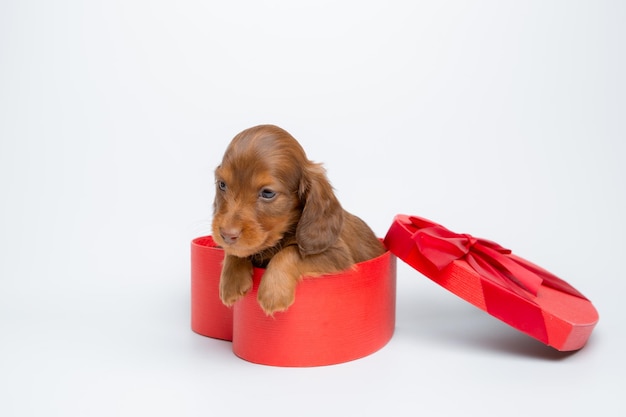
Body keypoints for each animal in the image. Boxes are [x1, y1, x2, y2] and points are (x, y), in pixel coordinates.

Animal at [212, 125, 382, 314]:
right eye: (222, 184)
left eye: (268, 193)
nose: (227, 235)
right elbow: (236, 251)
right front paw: (230, 282)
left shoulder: (336, 253)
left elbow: (289, 252)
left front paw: (273, 293)